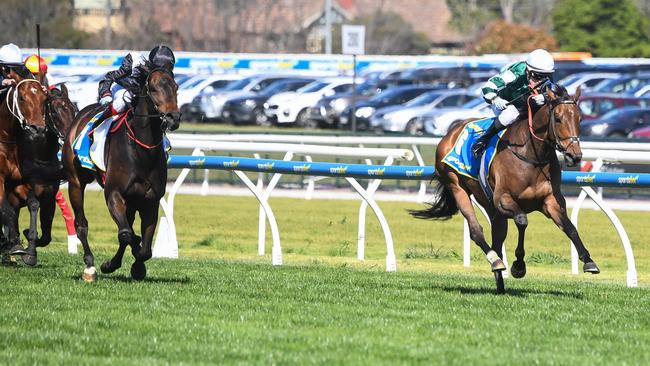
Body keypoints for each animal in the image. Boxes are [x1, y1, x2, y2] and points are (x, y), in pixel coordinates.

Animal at [61, 64, 180, 282]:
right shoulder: (114, 194)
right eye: (153, 89)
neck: (142, 151)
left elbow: (144, 248)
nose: (173, 117)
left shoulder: (150, 200)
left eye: (176, 87)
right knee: (81, 223)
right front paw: (110, 264)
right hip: (75, 182)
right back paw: (90, 266)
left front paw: (137, 267)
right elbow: (126, 234)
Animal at [410, 84, 596, 294]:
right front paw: (518, 266)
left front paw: (589, 261)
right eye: (557, 118)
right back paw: (495, 261)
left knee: (497, 239)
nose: (575, 156)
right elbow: (522, 221)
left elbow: (570, 228)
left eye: (579, 118)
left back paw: (500, 283)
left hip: (490, 206)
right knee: (476, 231)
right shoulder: (503, 199)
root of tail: (451, 132)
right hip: (457, 186)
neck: (531, 156)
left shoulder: (551, 202)